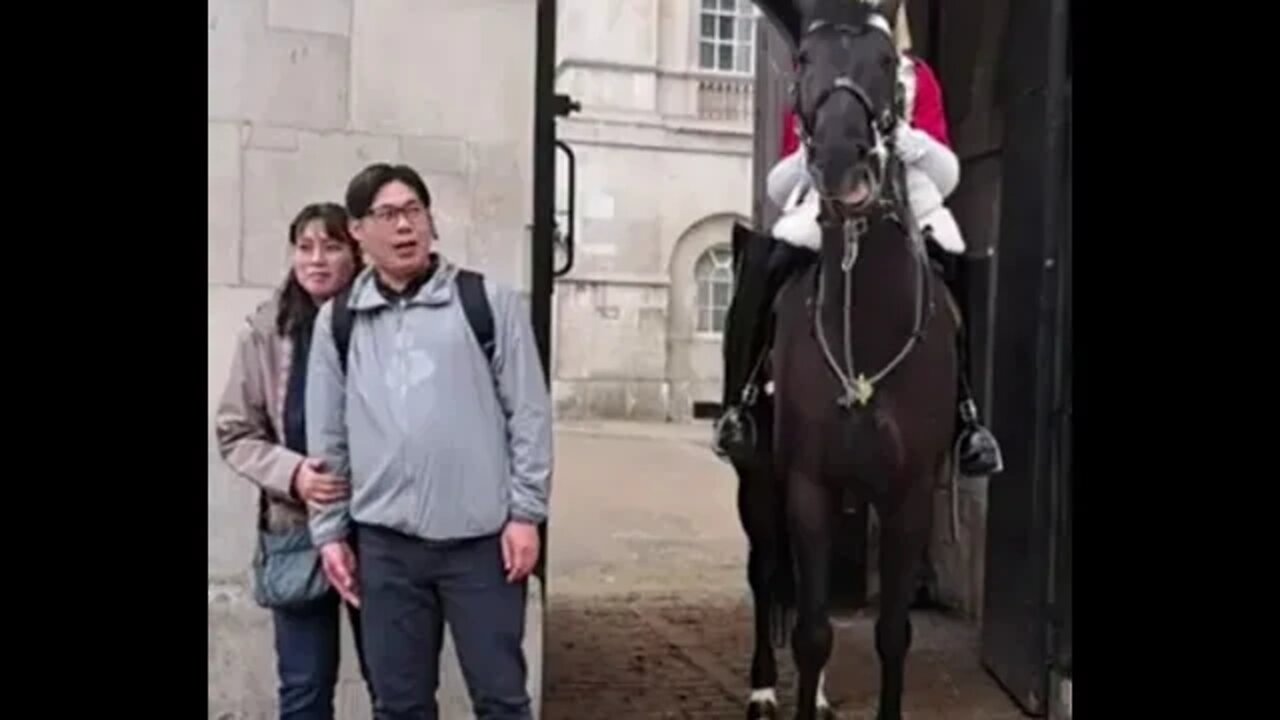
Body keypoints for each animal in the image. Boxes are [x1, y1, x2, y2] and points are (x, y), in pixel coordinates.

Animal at [721, 1, 998, 717]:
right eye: (804, 60)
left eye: (885, 61)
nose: (842, 163)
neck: (866, 329)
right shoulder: (807, 485)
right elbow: (814, 631)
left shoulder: (907, 495)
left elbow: (892, 632)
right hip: (758, 477)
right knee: (766, 573)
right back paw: (765, 686)